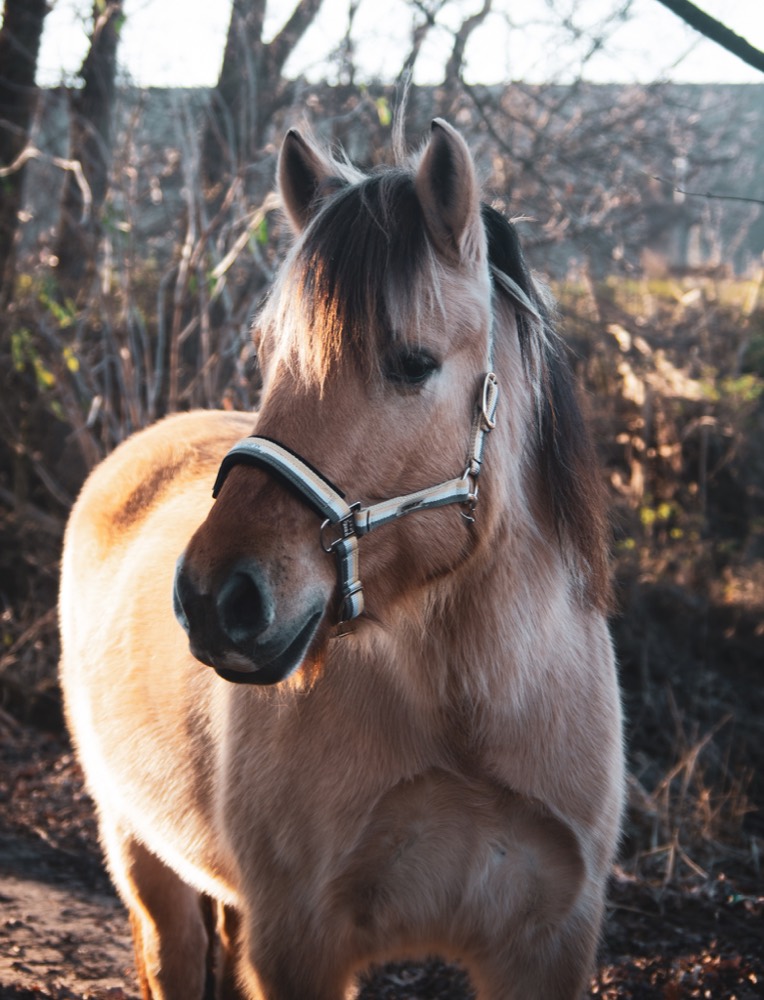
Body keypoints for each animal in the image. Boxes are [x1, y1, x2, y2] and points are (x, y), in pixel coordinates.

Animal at [59, 118, 624, 1000]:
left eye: (413, 362)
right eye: (267, 353)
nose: (216, 599)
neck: (468, 713)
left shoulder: (549, 948)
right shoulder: (299, 944)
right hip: (138, 850)